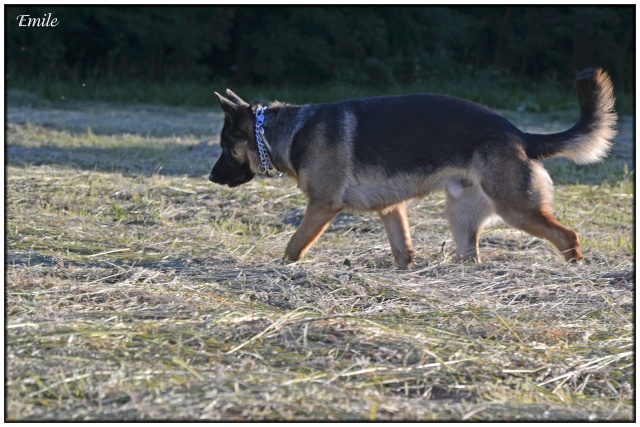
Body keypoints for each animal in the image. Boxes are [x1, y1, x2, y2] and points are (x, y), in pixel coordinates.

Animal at [209, 68, 616, 270]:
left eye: (225, 148)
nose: (211, 177)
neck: (282, 131)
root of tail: (519, 134)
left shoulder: (322, 207)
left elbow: (293, 246)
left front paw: (283, 269)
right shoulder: (391, 209)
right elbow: (402, 250)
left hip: (516, 209)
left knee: (567, 236)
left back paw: (575, 272)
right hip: (461, 219)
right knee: (471, 255)